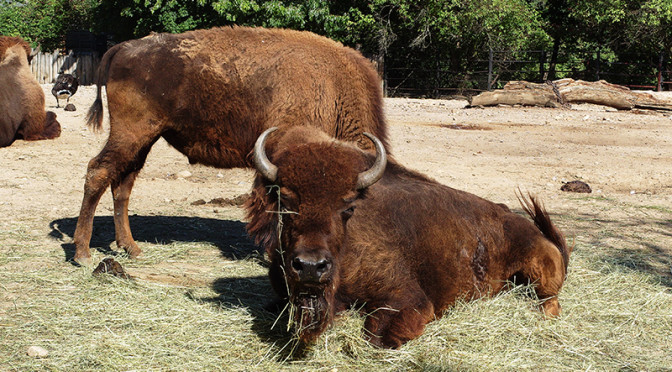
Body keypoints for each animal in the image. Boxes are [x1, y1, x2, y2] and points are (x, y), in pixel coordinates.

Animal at [72, 26, 388, 266]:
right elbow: (270, 207)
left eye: (349, 207)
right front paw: (271, 252)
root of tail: (124, 47)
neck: (334, 89)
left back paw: (131, 248)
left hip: (144, 139)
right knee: (98, 172)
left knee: (122, 184)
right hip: (130, 133)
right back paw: (83, 253)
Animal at [247, 126, 572, 348]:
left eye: (348, 207)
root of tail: (532, 229)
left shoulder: (408, 298)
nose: (311, 267)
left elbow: (377, 334)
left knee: (550, 301)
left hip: (542, 272)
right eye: (284, 201)